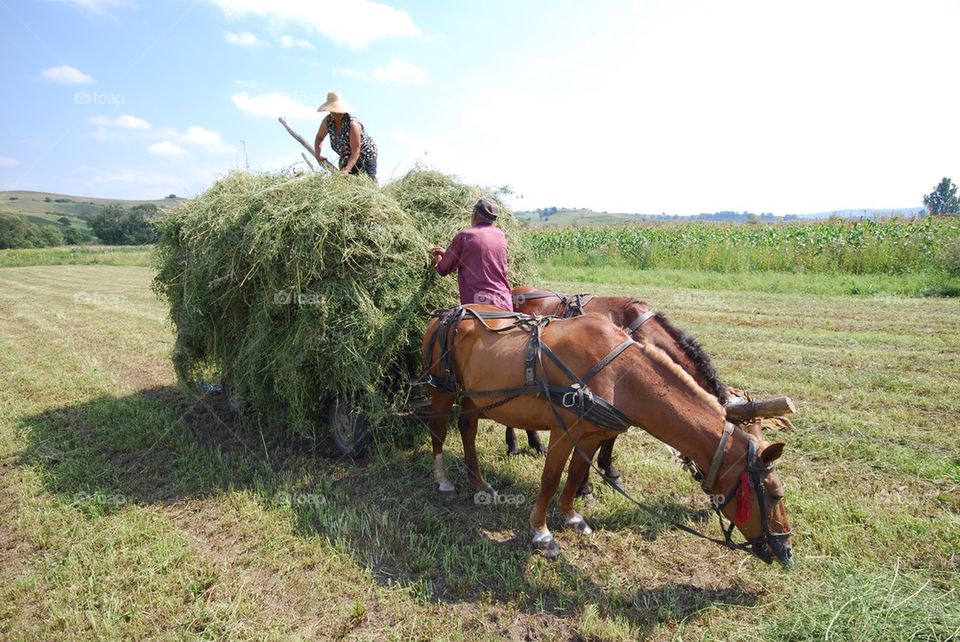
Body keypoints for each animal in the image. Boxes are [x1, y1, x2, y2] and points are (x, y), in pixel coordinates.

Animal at [510, 288, 728, 492]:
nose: (703, 477)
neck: (636, 330)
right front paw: (584, 486)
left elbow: (610, 438)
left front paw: (610, 471)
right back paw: (513, 447)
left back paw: (536, 444)